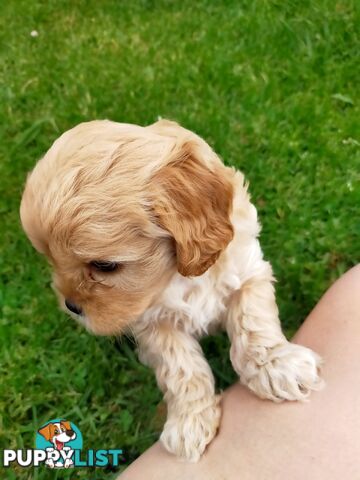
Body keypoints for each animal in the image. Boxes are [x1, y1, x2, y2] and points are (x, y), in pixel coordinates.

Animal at [19, 119, 324, 462]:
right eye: (51, 259)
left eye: (105, 266)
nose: (71, 306)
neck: (178, 276)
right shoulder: (152, 323)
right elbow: (181, 368)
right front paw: (190, 422)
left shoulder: (248, 273)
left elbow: (253, 323)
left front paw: (276, 366)